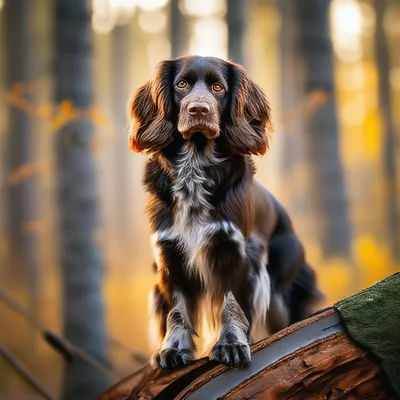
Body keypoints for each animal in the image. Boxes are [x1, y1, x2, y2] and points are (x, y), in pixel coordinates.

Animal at [128, 55, 322, 368]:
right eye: (181, 84)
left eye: (218, 87)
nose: (199, 109)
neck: (195, 165)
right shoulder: (169, 255)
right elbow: (177, 309)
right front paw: (173, 349)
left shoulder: (235, 251)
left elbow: (232, 304)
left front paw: (231, 345)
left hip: (281, 285)